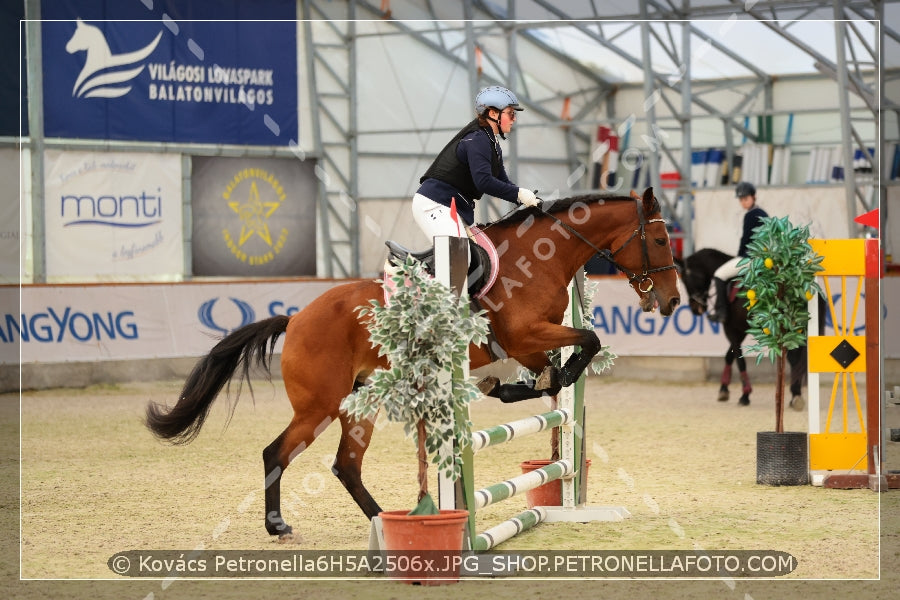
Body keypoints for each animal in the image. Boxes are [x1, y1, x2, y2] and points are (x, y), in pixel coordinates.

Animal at [146, 186, 684, 540]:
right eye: (661, 241)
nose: (674, 301)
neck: (541, 257)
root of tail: (296, 318)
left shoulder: (529, 343)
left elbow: (550, 373)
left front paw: (534, 384)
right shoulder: (523, 336)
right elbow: (586, 341)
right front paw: (559, 374)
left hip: (359, 403)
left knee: (344, 464)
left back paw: (386, 522)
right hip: (320, 406)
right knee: (278, 453)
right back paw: (283, 525)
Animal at [680, 247, 820, 408]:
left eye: (685, 280)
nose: (695, 309)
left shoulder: (731, 329)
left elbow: (739, 359)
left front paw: (745, 394)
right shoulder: (741, 329)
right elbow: (729, 355)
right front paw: (724, 389)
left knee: (793, 358)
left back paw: (794, 393)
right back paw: (795, 395)